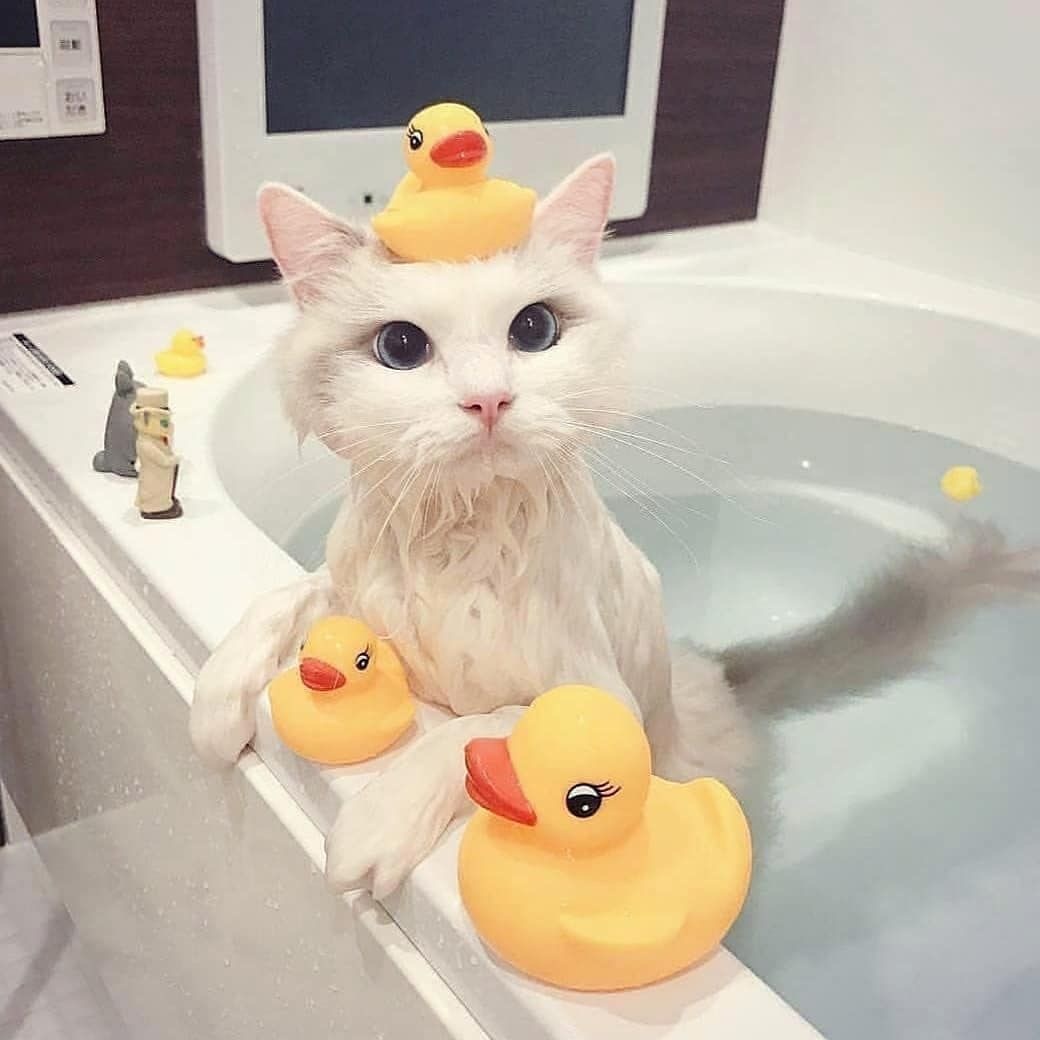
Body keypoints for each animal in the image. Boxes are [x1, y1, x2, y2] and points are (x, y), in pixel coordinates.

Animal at [190, 155, 1039, 898]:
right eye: (401, 346)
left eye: (533, 330)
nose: (488, 401)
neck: (459, 538)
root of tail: (715, 668)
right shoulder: (347, 586)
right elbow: (284, 600)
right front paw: (213, 706)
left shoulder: (596, 702)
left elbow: (477, 728)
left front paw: (371, 827)